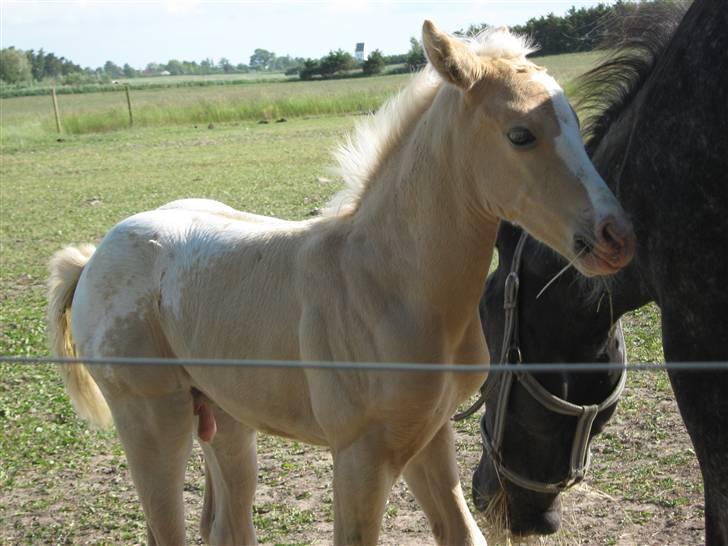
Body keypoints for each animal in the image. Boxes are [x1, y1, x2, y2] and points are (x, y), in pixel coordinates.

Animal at [48, 22, 636, 544]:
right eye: (520, 135)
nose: (616, 236)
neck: (390, 282)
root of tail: (93, 259)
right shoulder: (360, 455)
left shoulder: (428, 436)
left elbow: (462, 533)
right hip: (152, 418)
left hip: (225, 416)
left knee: (226, 527)